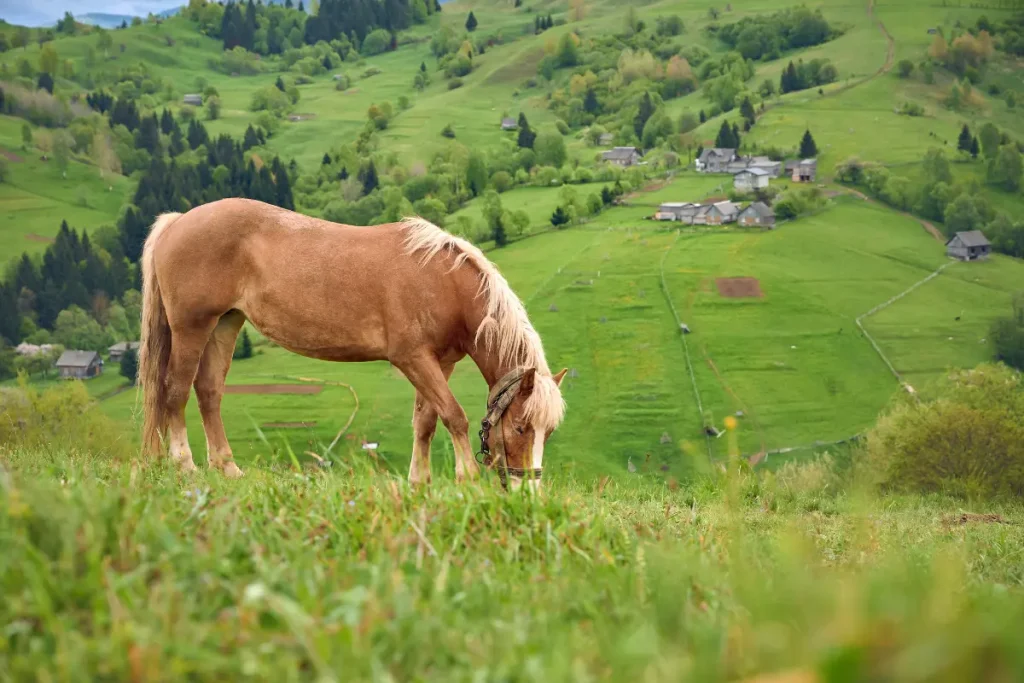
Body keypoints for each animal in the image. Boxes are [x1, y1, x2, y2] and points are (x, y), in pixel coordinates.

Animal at [137, 197, 567, 490]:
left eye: (549, 431)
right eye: (522, 427)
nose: (528, 491)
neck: (443, 282)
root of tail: (177, 222)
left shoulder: (440, 363)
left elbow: (426, 422)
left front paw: (419, 483)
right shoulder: (413, 358)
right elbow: (453, 415)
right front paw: (468, 480)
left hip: (225, 323)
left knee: (209, 392)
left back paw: (227, 467)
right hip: (191, 326)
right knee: (175, 390)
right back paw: (185, 465)